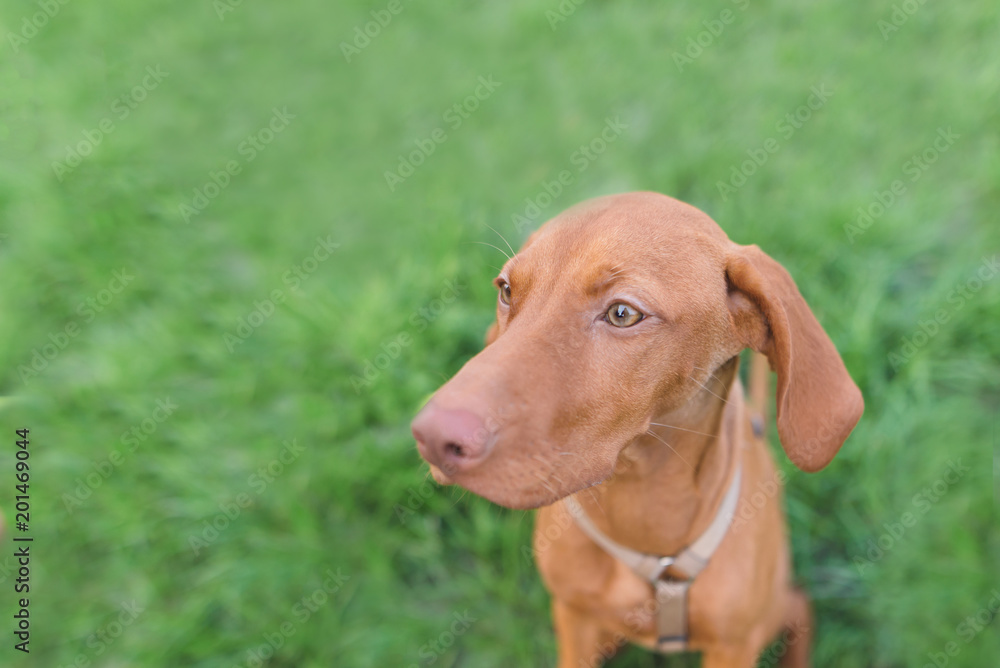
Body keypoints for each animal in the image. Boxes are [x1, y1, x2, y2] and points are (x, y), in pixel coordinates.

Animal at [410, 192, 864, 668]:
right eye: (506, 290)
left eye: (623, 314)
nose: (431, 438)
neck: (641, 507)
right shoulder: (573, 617)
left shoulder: (732, 646)